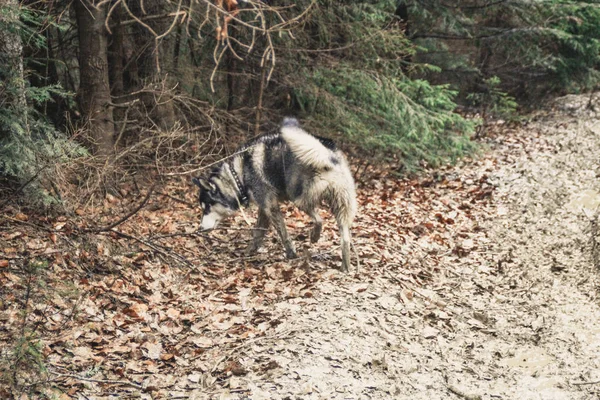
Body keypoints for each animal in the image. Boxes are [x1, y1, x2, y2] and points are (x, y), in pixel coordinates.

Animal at [195, 117, 358, 270]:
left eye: (206, 208)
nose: (200, 229)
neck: (238, 175)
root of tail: (326, 154)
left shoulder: (270, 206)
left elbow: (283, 234)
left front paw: (291, 254)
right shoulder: (264, 208)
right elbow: (258, 233)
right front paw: (249, 251)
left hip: (298, 200)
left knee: (319, 220)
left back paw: (315, 236)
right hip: (341, 207)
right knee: (345, 238)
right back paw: (346, 268)